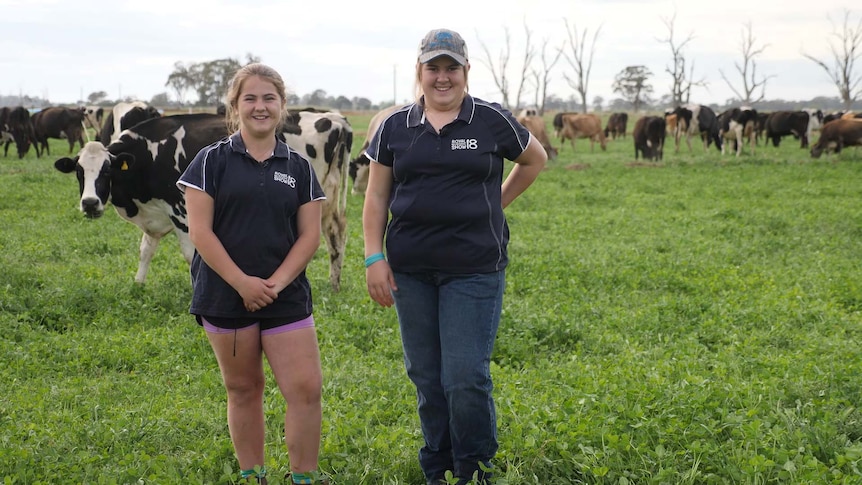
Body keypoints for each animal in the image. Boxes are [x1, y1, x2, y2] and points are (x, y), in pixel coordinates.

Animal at [54, 110, 354, 292]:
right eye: (79, 172)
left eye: (107, 171)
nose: (89, 203)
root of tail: (334, 118)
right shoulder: (157, 211)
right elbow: (145, 250)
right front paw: (138, 284)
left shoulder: (180, 211)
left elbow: (191, 255)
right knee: (336, 233)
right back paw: (334, 285)